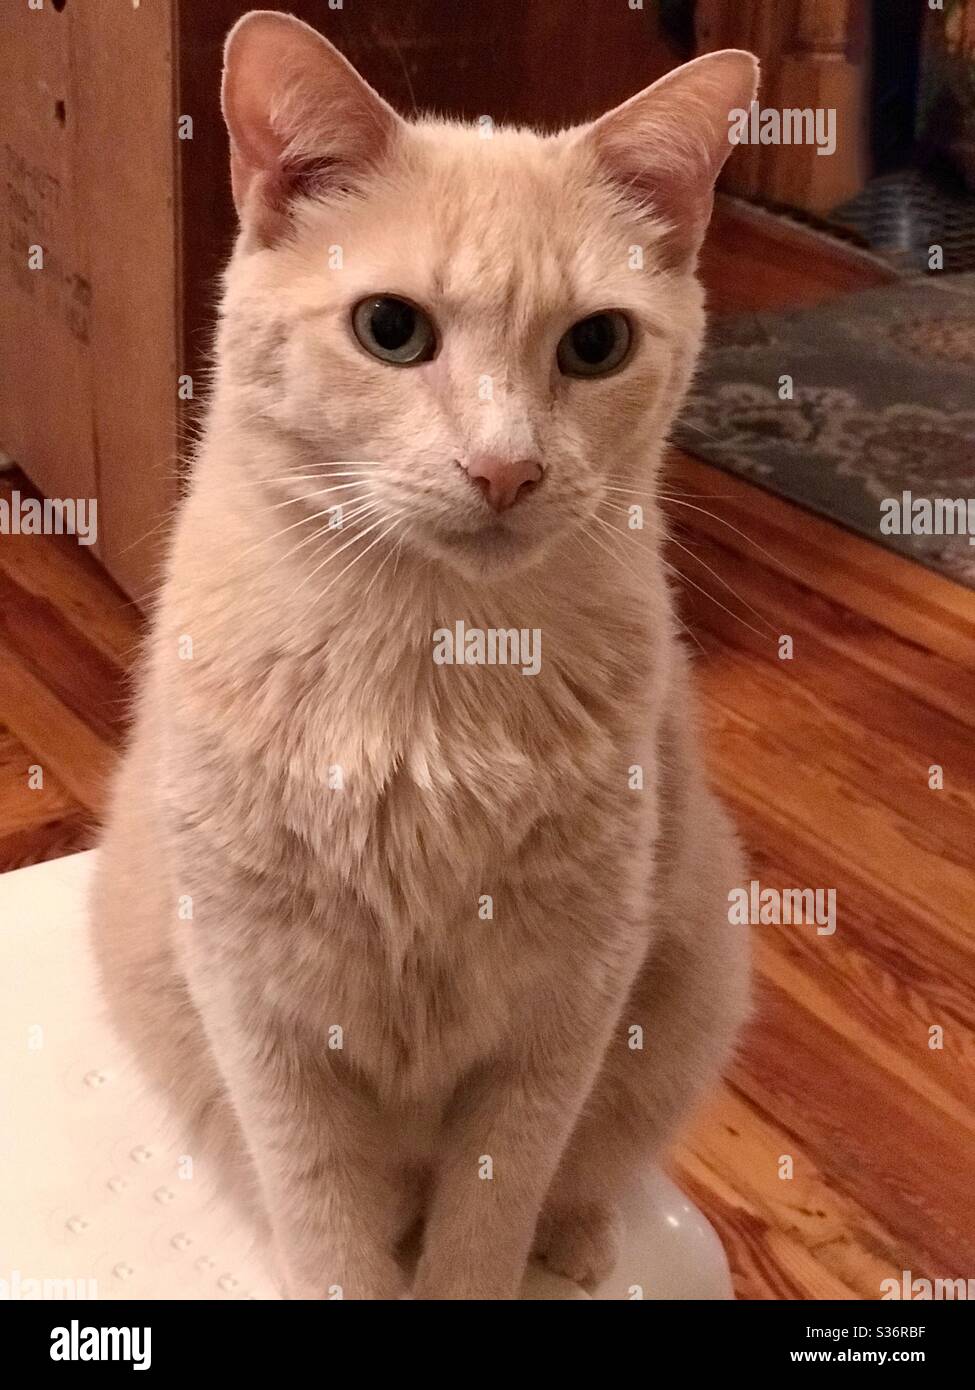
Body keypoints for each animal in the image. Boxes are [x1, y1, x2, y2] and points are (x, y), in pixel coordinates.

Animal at [91, 8, 756, 1301]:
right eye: (390, 330)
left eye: (597, 345)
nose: (507, 471)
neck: (428, 671)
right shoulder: (260, 1013)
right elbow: (328, 1224)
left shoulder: (564, 1010)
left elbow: (488, 1217)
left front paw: (501, 1253)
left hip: (688, 992)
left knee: (593, 1168)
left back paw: (578, 1242)